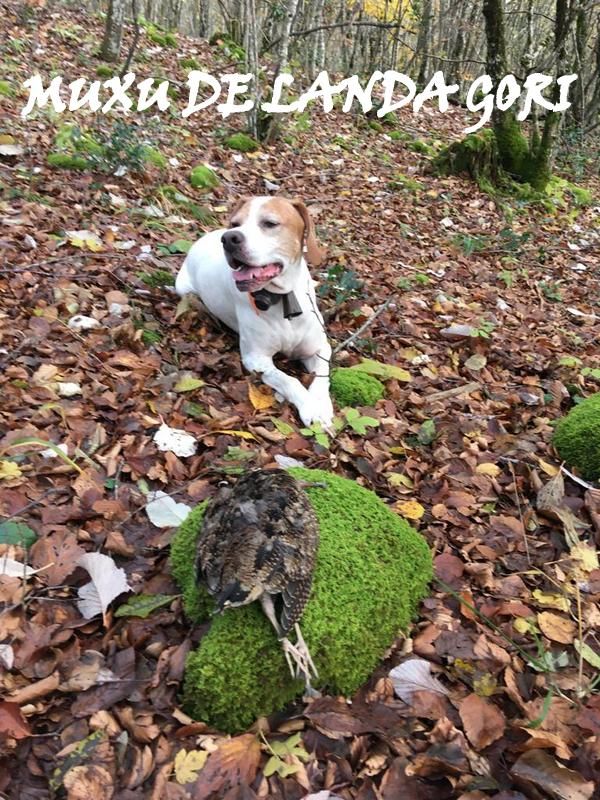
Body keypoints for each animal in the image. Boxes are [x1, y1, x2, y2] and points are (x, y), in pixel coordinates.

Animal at [176, 197, 336, 428]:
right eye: (235, 223)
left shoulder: (320, 348)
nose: (229, 238)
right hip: (182, 287)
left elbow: (322, 376)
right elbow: (289, 380)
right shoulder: (257, 359)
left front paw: (321, 404)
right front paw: (311, 407)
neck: (283, 299)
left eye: (270, 223)